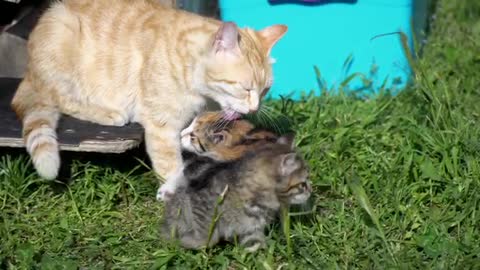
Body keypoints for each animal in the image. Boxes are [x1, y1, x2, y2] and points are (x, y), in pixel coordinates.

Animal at [10, 0, 284, 192]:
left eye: (264, 90)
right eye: (246, 88)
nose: (254, 109)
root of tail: (28, 70)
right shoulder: (161, 127)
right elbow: (171, 166)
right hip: (62, 35)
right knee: (60, 98)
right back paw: (108, 113)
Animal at [161, 135, 312, 251]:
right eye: (302, 184)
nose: (311, 191)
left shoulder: (252, 228)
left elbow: (255, 242)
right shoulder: (201, 205)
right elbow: (206, 238)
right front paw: (187, 241)